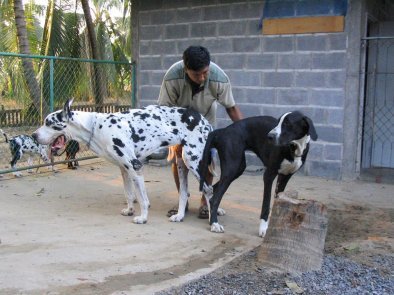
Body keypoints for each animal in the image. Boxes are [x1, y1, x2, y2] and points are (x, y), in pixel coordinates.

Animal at [32, 99, 214, 224]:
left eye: (48, 123)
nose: (33, 135)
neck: (95, 126)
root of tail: (203, 120)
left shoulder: (135, 167)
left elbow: (142, 199)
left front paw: (143, 217)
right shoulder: (124, 169)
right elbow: (129, 194)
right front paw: (130, 210)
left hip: (194, 163)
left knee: (209, 190)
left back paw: (214, 223)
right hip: (182, 164)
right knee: (184, 192)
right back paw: (180, 216)